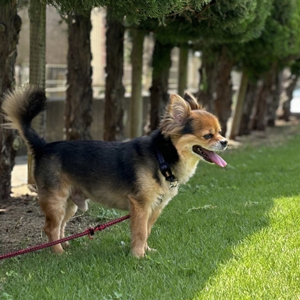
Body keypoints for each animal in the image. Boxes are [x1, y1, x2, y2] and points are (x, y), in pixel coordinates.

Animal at [2, 86, 227, 258]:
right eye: (208, 135)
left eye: (220, 132)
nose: (225, 142)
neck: (161, 158)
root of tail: (43, 146)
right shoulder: (140, 206)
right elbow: (140, 232)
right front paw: (138, 256)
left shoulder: (155, 208)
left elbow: (147, 231)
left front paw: (147, 251)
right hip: (55, 200)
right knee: (50, 227)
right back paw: (58, 253)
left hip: (69, 204)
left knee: (59, 227)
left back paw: (62, 245)